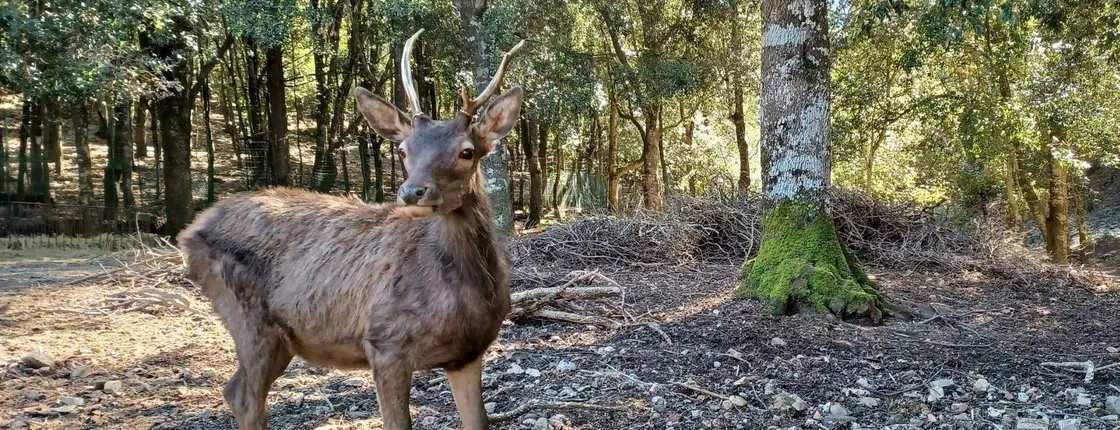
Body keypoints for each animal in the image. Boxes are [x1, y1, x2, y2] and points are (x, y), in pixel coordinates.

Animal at [176, 29, 524, 430]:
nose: (412, 192)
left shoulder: (468, 352)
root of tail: (188, 232)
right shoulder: (385, 342)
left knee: (235, 391)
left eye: (467, 151)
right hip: (247, 316)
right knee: (246, 398)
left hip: (281, 338)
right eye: (403, 150)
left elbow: (478, 420)